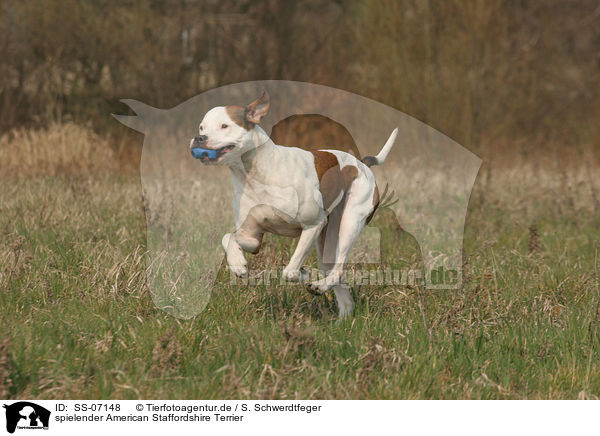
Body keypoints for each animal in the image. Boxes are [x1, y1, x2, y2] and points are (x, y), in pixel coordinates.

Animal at [190, 92, 396, 316]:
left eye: (224, 125)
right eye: (201, 127)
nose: (199, 138)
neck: (254, 174)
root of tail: (362, 164)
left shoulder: (313, 224)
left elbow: (290, 271)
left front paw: (304, 273)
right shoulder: (253, 237)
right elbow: (228, 237)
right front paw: (237, 264)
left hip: (348, 225)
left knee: (338, 268)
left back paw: (318, 285)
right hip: (326, 243)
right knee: (338, 280)